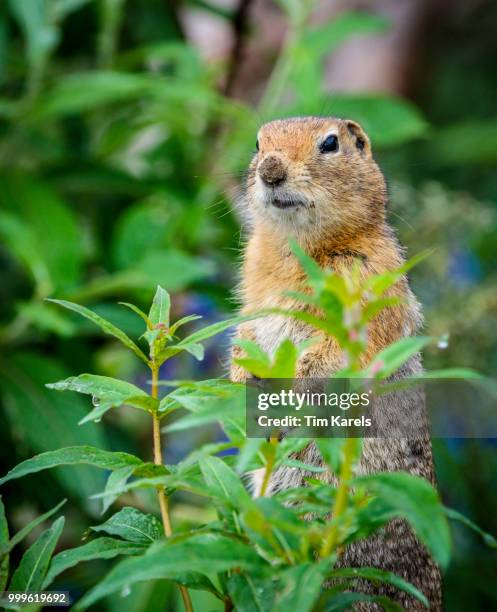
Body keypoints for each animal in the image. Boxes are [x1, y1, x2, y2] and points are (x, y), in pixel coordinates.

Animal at [230, 117, 442, 608]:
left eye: (331, 143)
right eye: (257, 143)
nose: (270, 171)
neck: (297, 248)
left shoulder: (366, 286)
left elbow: (331, 357)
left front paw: (284, 397)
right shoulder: (251, 298)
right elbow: (243, 336)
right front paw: (241, 375)